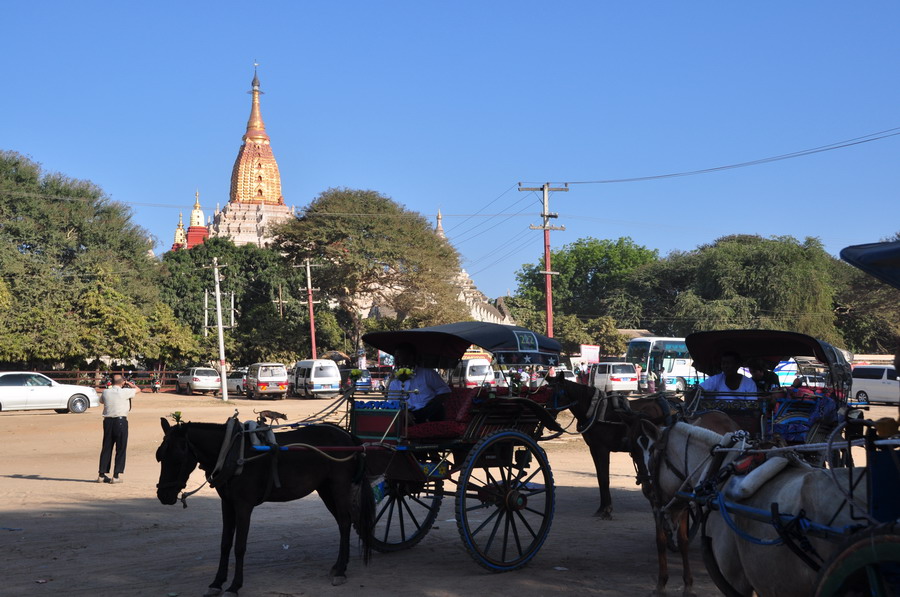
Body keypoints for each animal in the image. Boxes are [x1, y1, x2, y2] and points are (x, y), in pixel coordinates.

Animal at [156, 418, 374, 596]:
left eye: (177, 457)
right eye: (160, 457)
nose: (163, 495)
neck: (231, 453)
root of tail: (346, 435)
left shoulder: (243, 506)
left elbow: (240, 546)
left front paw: (234, 586)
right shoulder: (227, 504)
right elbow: (225, 544)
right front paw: (217, 583)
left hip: (339, 487)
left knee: (345, 522)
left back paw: (341, 571)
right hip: (325, 489)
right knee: (343, 522)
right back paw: (339, 565)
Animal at [551, 377, 684, 519]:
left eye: (554, 393)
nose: (548, 413)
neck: (596, 410)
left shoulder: (602, 448)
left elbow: (605, 478)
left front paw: (607, 509)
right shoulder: (594, 448)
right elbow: (600, 477)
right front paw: (602, 508)